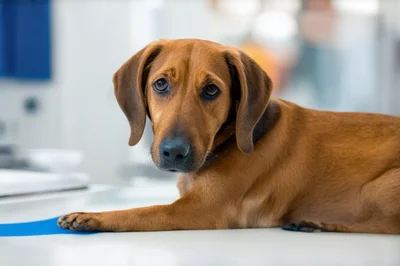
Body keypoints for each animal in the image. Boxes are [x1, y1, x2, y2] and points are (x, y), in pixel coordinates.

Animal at [57, 38, 400, 234]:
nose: (174, 152)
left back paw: (322, 224)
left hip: (377, 189)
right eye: (161, 84)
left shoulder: (199, 210)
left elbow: (140, 212)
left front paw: (93, 216)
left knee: (383, 227)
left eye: (211, 90)